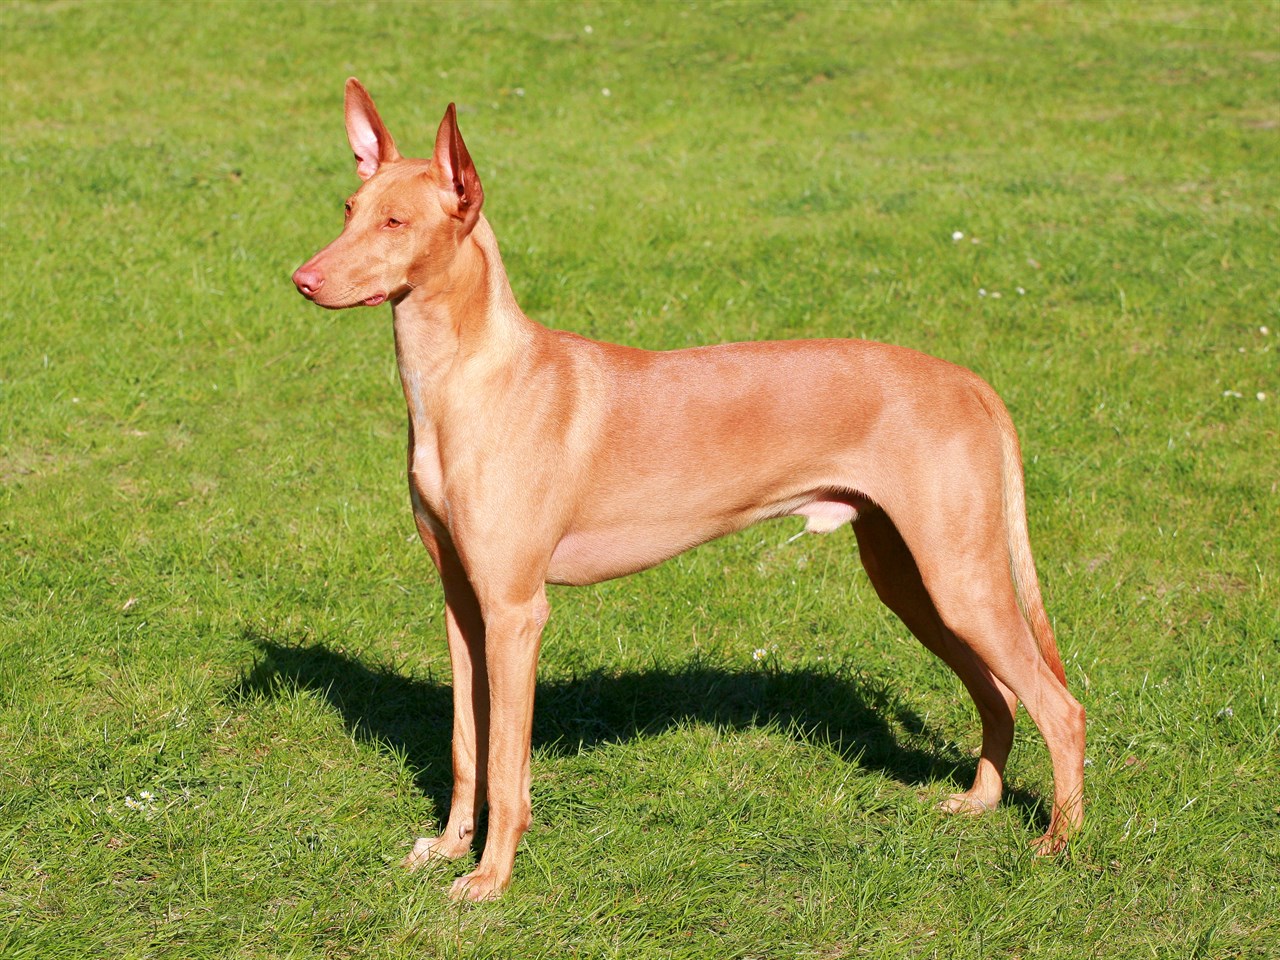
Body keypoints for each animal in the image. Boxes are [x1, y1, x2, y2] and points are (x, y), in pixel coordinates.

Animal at [294, 77, 1085, 901]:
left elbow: (507, 765)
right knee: (1001, 694)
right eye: (348, 209)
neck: (466, 381)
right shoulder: (462, 603)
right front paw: (450, 848)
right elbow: (465, 746)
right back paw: (981, 801)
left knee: (1061, 707)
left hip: (960, 579)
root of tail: (969, 380)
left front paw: (489, 879)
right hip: (913, 582)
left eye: (396, 221)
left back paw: (1057, 843)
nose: (303, 279)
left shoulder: (515, 611)